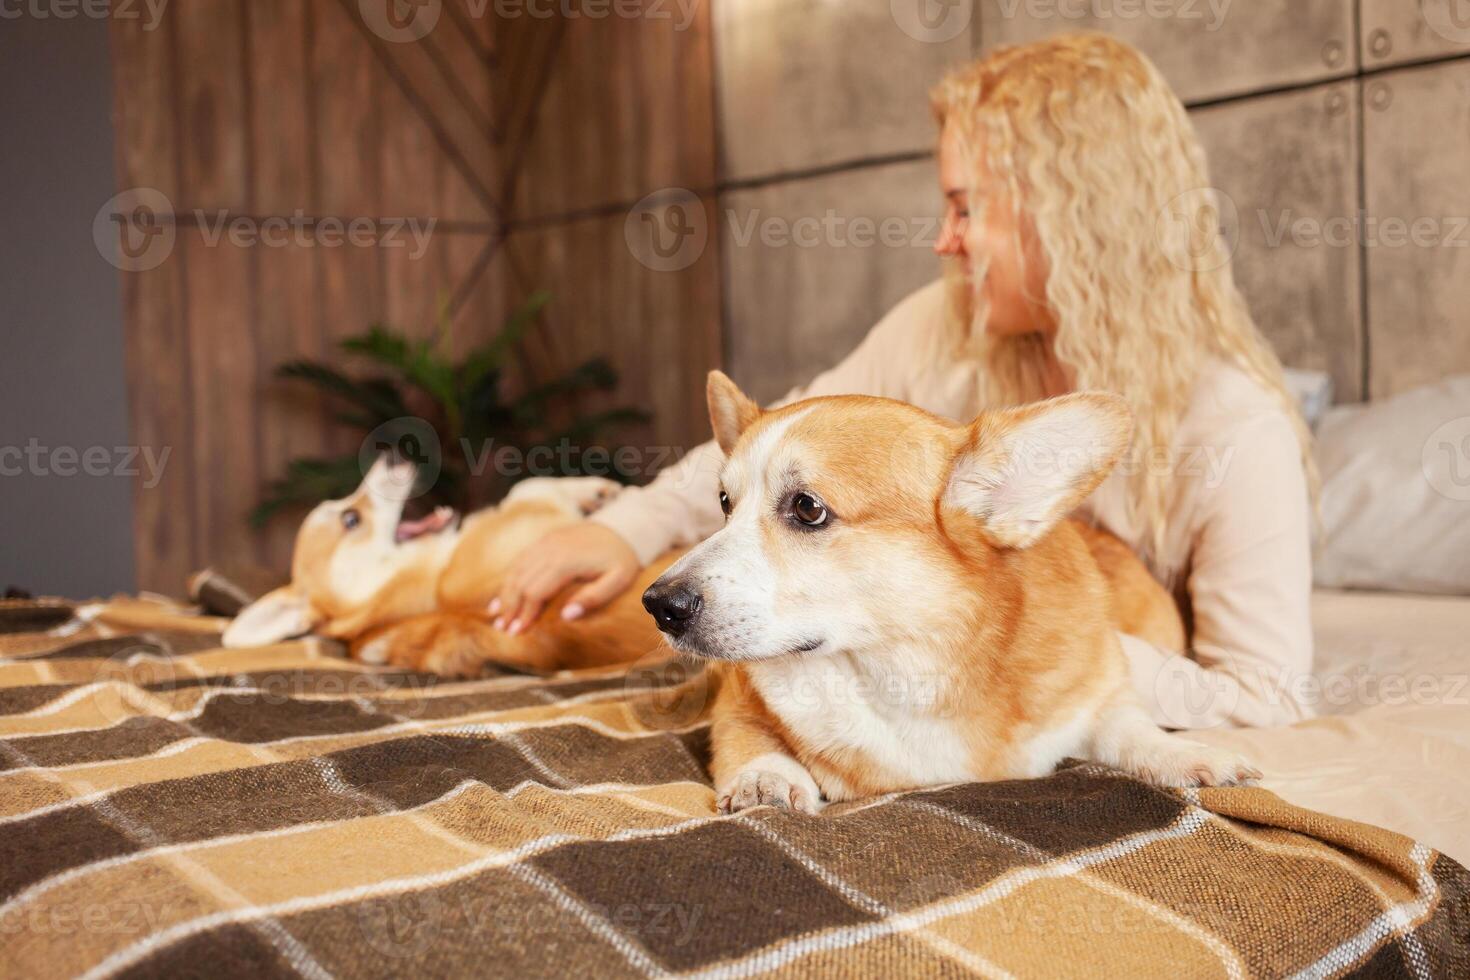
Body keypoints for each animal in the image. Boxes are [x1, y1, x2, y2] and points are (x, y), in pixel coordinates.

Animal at [649, 371, 1258, 816]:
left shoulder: (1096, 696)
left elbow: (1129, 728)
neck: (904, 671)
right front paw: (764, 780)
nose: (659, 605)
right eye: (724, 504)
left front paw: (1190, 755)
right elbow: (749, 738)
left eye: (807, 508)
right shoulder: (735, 700)